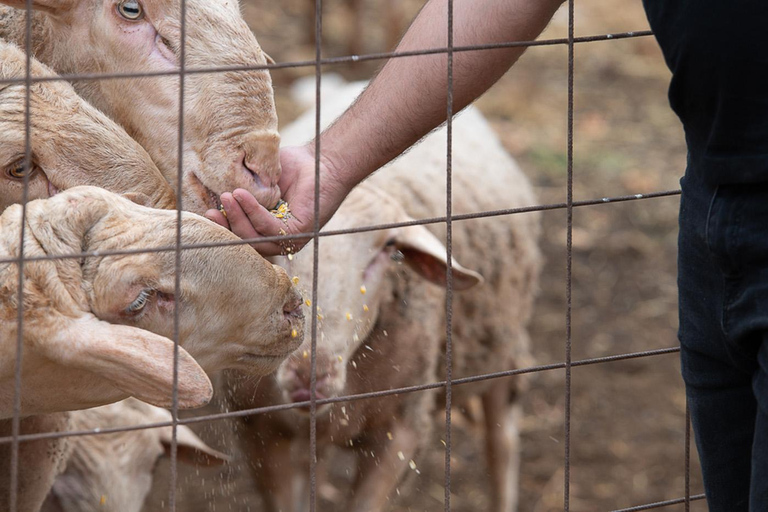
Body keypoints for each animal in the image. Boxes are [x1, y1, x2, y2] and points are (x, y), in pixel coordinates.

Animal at [225, 78, 544, 512]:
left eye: (388, 249)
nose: (310, 373)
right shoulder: (259, 429)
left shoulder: (401, 433)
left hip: (503, 350)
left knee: (502, 443)